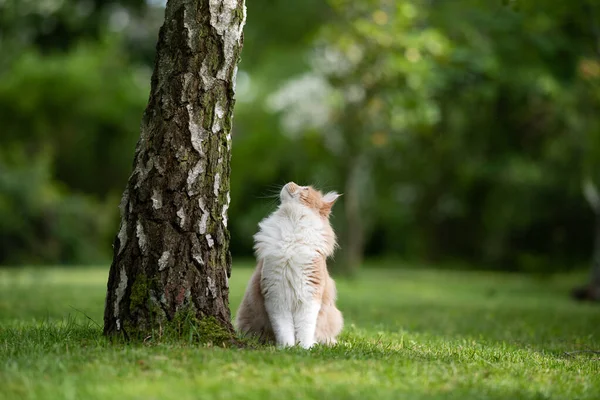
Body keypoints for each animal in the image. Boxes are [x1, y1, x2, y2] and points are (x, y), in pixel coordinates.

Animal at [234, 181, 342, 346]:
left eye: (305, 189)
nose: (290, 183)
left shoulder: (309, 296)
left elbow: (305, 329)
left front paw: (304, 348)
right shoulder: (276, 297)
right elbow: (284, 330)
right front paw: (288, 347)